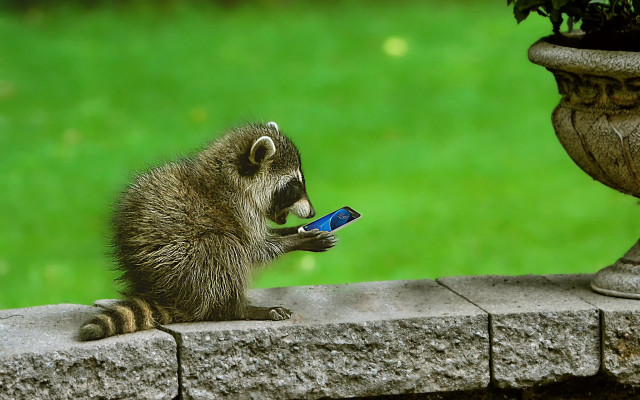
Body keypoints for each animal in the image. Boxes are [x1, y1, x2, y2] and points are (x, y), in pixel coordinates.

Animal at [78, 122, 336, 341]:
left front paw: (294, 231)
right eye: (294, 186)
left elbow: (264, 239)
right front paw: (297, 240)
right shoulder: (237, 210)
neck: (231, 178)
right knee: (224, 249)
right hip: (185, 262)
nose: (312, 213)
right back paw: (237, 309)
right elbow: (255, 249)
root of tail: (165, 295)